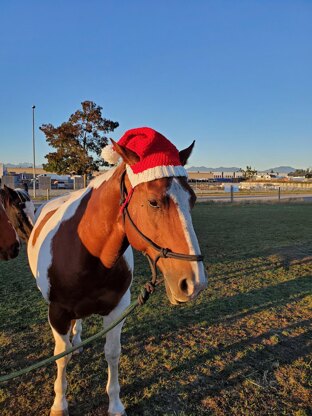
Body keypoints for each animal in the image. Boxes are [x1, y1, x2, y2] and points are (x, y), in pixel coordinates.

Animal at [27, 127, 207, 416]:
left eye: (193, 200)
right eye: (153, 202)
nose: (194, 283)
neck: (87, 253)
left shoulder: (117, 309)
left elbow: (112, 353)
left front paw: (115, 403)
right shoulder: (57, 313)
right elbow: (60, 358)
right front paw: (59, 404)